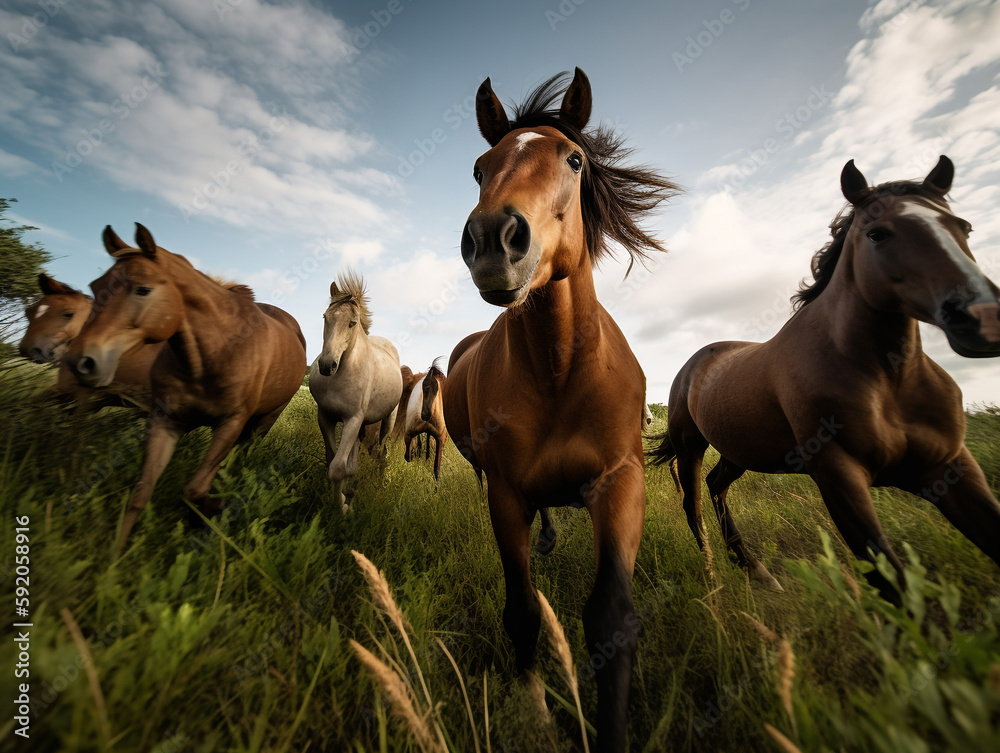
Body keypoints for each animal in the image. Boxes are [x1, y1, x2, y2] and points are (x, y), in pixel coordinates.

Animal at [66, 224, 307, 551]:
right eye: (95, 286)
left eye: (142, 289)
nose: (81, 361)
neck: (215, 353)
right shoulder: (165, 422)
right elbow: (141, 493)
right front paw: (115, 555)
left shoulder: (231, 423)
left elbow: (193, 491)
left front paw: (214, 508)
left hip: (263, 422)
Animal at [309, 272, 402, 512]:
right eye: (325, 317)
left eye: (352, 323)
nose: (326, 366)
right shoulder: (325, 417)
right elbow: (333, 460)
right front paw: (343, 495)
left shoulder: (352, 419)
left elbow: (337, 468)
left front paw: (342, 507)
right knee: (355, 458)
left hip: (387, 421)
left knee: (382, 453)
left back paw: (382, 484)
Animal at [441, 69, 677, 751]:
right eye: (479, 168)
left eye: (574, 160)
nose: (493, 240)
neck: (558, 372)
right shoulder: (506, 494)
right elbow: (523, 609)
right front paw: (535, 711)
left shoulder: (620, 482)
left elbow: (611, 617)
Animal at [648, 156, 1000, 604]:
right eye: (877, 233)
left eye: (964, 227)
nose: (984, 318)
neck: (889, 379)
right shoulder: (839, 479)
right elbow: (893, 582)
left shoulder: (953, 468)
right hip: (690, 444)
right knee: (693, 505)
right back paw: (714, 580)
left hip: (740, 450)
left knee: (716, 486)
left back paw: (758, 571)